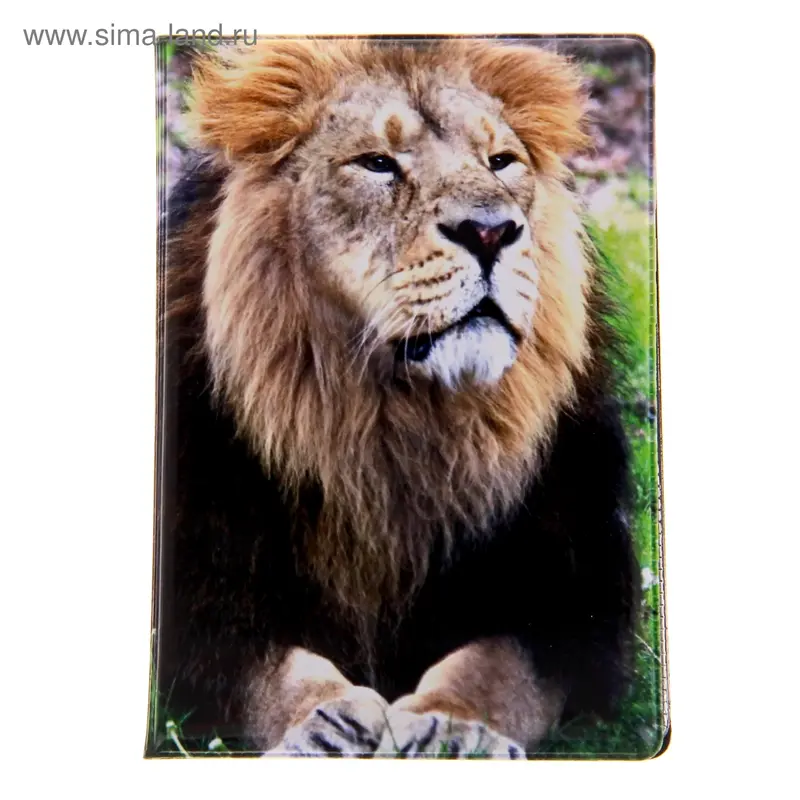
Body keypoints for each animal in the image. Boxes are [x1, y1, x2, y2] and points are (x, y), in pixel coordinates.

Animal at [151, 37, 638, 758]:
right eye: (377, 164)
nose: (491, 231)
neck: (393, 425)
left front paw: (455, 727)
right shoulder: (199, 599)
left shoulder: (575, 604)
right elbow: (273, 669)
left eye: (501, 162)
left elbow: (499, 664)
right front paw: (324, 723)